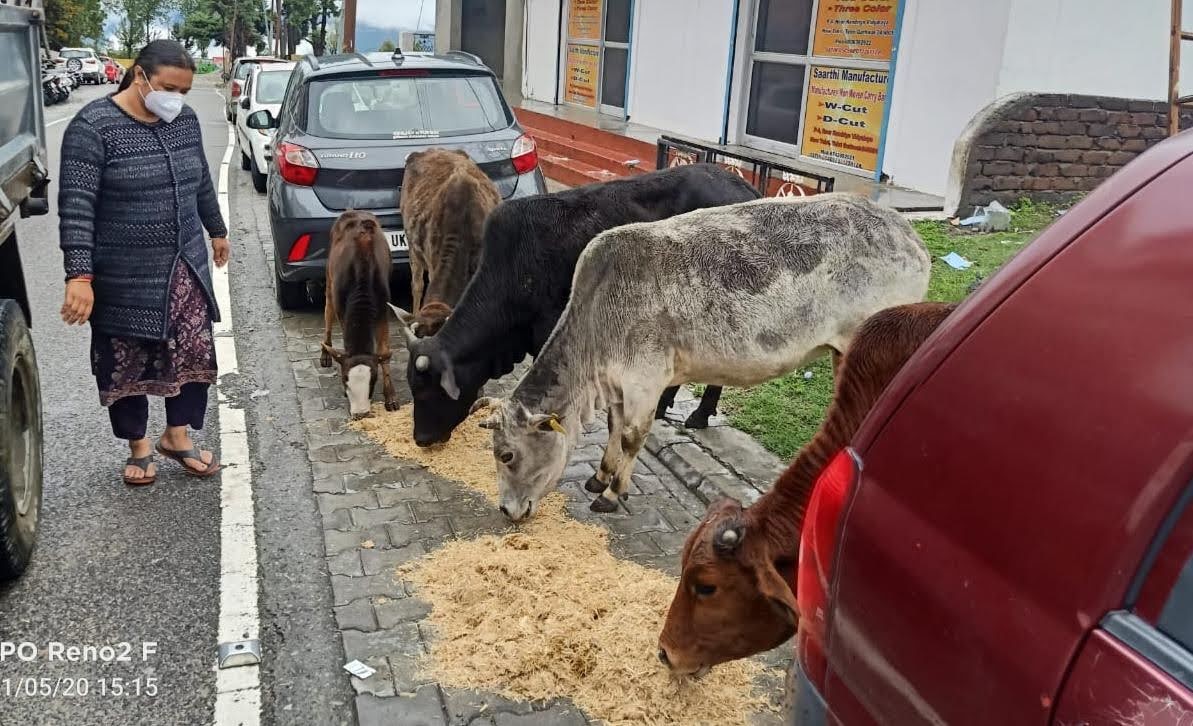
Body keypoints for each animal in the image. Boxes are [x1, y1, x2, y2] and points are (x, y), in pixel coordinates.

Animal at [319, 206, 398, 417]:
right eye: (345, 380)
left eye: (373, 381)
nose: (360, 413)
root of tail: (353, 211)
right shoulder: (342, 309)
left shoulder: (383, 308)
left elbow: (384, 352)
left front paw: (391, 397)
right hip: (329, 280)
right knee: (327, 311)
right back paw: (325, 352)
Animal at [472, 194, 930, 519]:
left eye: (507, 454)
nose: (507, 510)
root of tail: (909, 235)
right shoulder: (622, 385)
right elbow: (613, 427)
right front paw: (599, 477)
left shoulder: (646, 379)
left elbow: (632, 435)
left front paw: (613, 493)